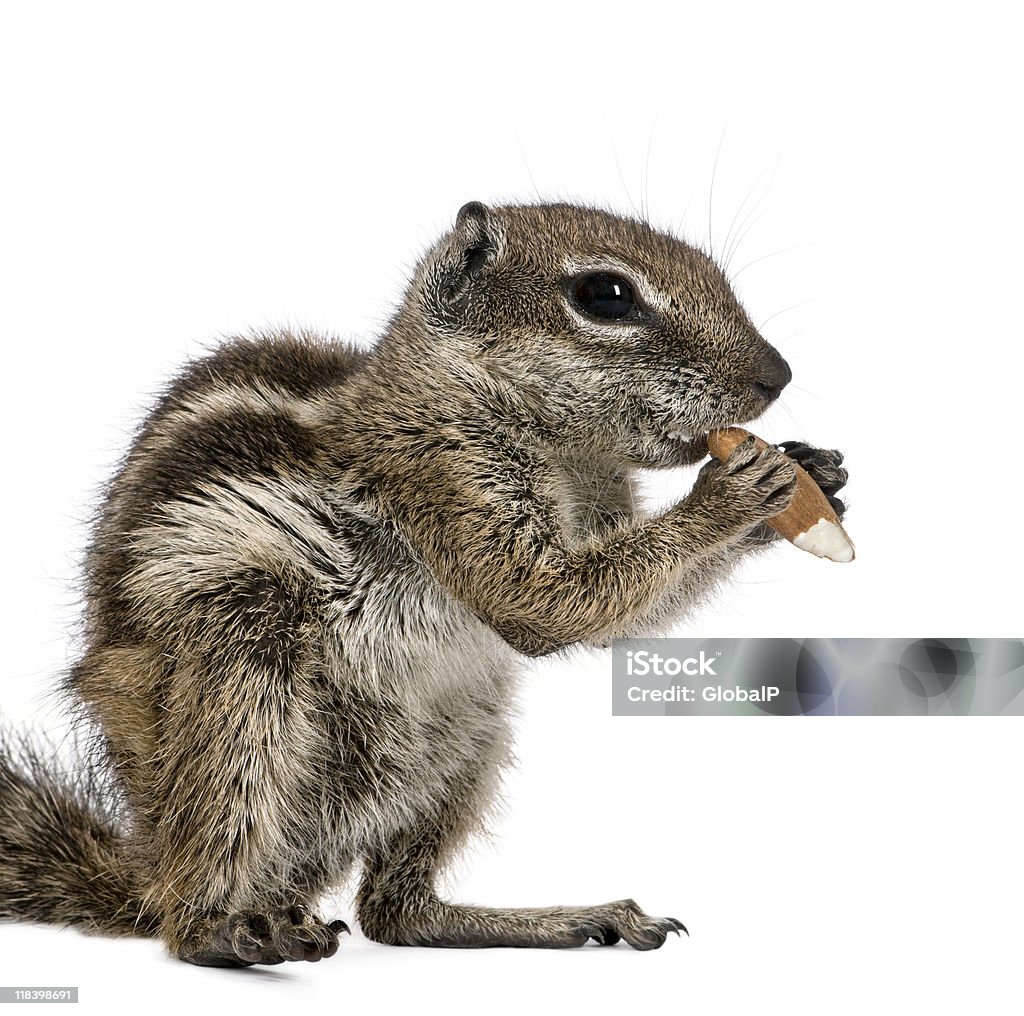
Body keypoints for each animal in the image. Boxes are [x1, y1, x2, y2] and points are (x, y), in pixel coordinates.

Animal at [0, 200, 847, 966]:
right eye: (606, 295)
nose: (776, 376)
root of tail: (144, 864)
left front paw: (813, 478)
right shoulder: (445, 471)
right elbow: (540, 601)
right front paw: (735, 492)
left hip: (467, 725)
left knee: (395, 912)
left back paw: (564, 919)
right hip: (242, 663)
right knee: (193, 904)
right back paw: (227, 931)